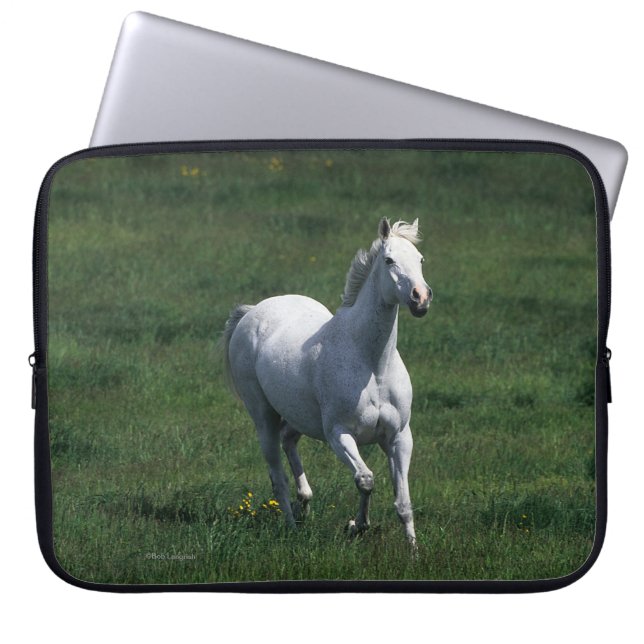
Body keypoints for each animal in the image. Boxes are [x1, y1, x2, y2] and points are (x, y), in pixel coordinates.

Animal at [221, 217, 431, 544]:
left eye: (420, 259)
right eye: (389, 260)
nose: (420, 298)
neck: (372, 365)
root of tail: (251, 311)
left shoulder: (399, 437)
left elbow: (403, 503)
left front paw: (413, 549)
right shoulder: (338, 434)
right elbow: (365, 479)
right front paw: (357, 525)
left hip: (299, 415)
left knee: (289, 441)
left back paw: (305, 504)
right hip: (263, 417)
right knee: (277, 475)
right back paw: (292, 525)